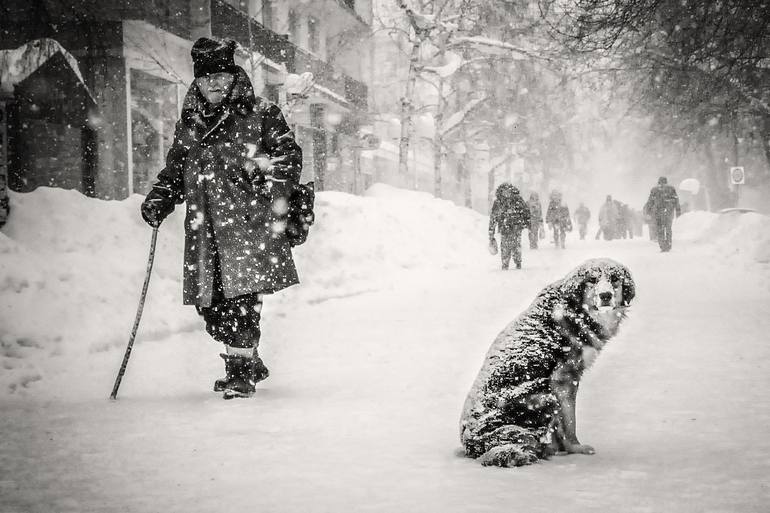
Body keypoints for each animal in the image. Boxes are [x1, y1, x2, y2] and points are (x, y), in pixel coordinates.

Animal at [460, 258, 632, 466]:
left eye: (614, 278)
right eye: (592, 279)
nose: (605, 295)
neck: (575, 309)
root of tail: (470, 442)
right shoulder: (564, 379)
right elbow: (569, 420)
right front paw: (575, 448)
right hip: (544, 396)